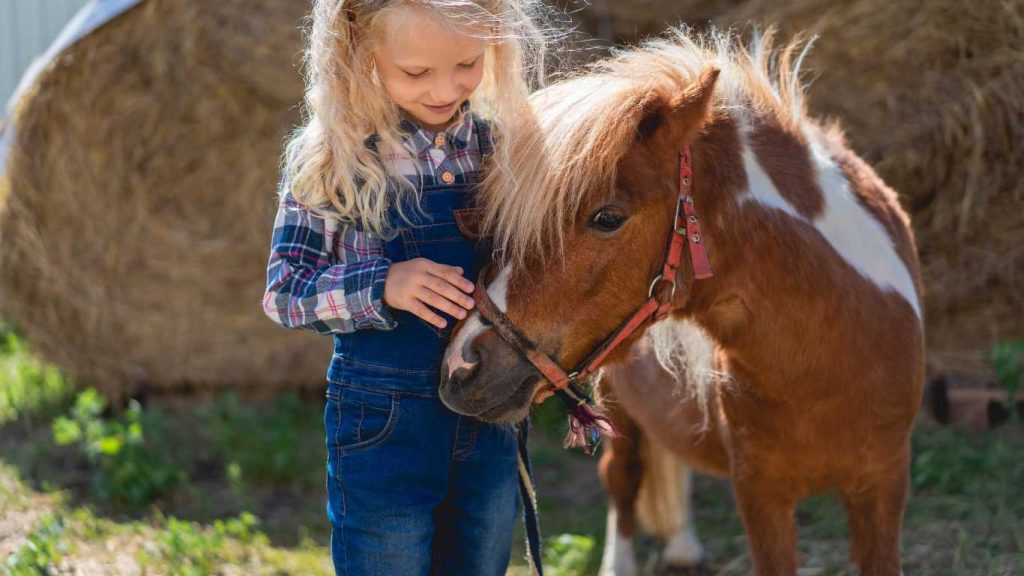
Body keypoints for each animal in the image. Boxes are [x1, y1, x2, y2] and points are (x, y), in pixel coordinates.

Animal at [436, 28, 925, 573]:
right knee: (623, 481)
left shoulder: (884, 486)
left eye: (608, 217)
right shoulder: (761, 494)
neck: (827, 361)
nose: (461, 366)